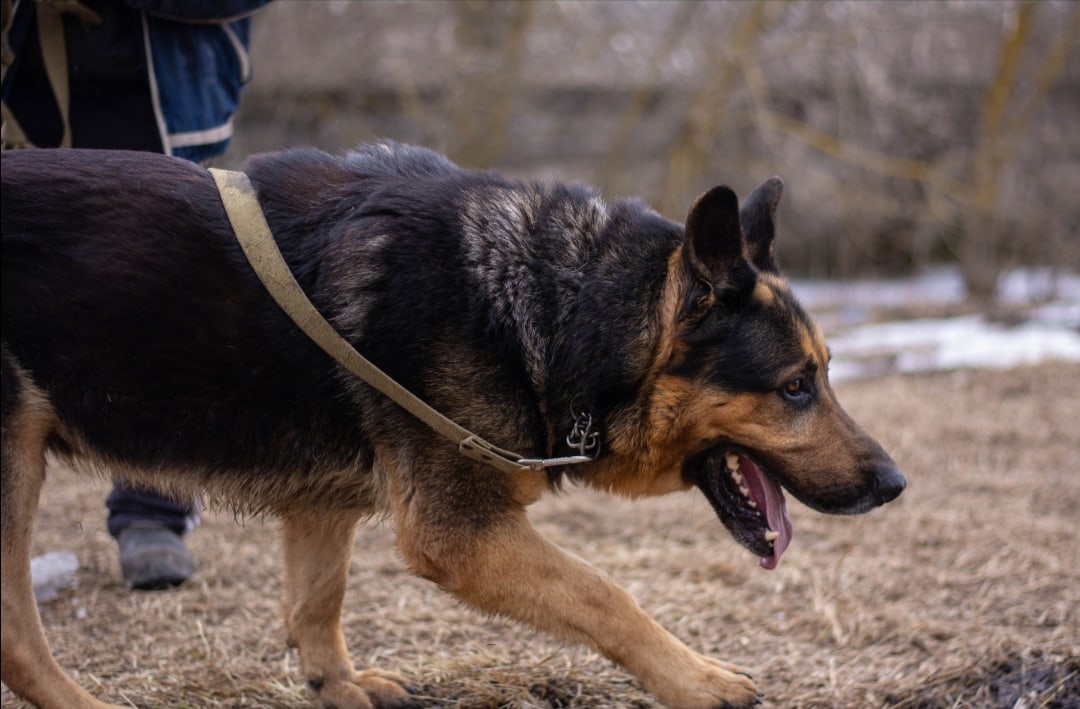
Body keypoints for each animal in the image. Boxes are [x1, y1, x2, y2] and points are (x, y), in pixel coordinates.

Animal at [2, 141, 902, 704]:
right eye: (795, 387)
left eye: (824, 375)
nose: (895, 484)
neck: (558, 305)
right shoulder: (459, 531)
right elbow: (607, 594)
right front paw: (696, 680)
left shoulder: (324, 507)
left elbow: (316, 602)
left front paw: (339, 688)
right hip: (15, 459)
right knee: (18, 637)